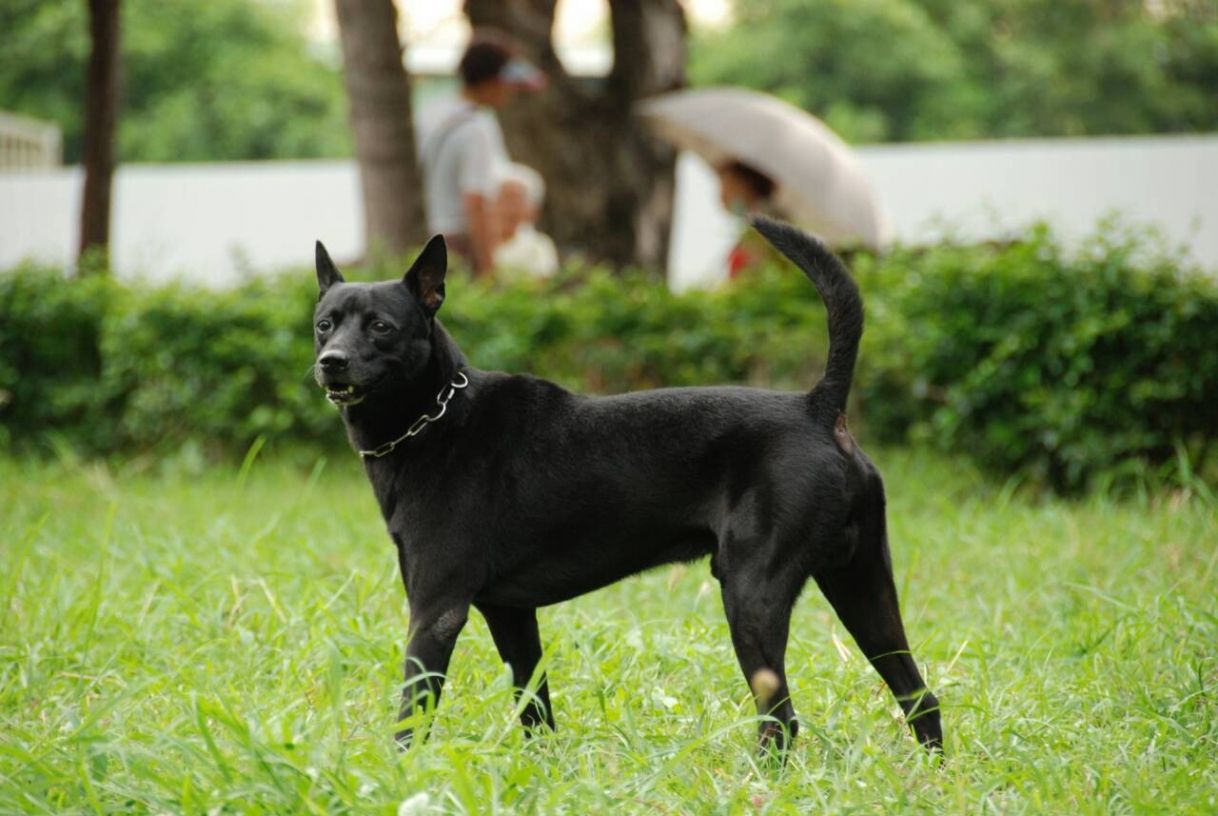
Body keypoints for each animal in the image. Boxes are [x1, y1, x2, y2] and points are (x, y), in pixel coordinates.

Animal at [311, 216, 940, 755]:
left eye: (381, 326)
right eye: (324, 324)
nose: (330, 361)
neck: (437, 416)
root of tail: (818, 407)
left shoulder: (436, 611)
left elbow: (412, 714)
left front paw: (402, 773)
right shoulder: (510, 613)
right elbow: (535, 709)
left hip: (752, 595)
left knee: (781, 719)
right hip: (861, 584)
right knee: (920, 696)